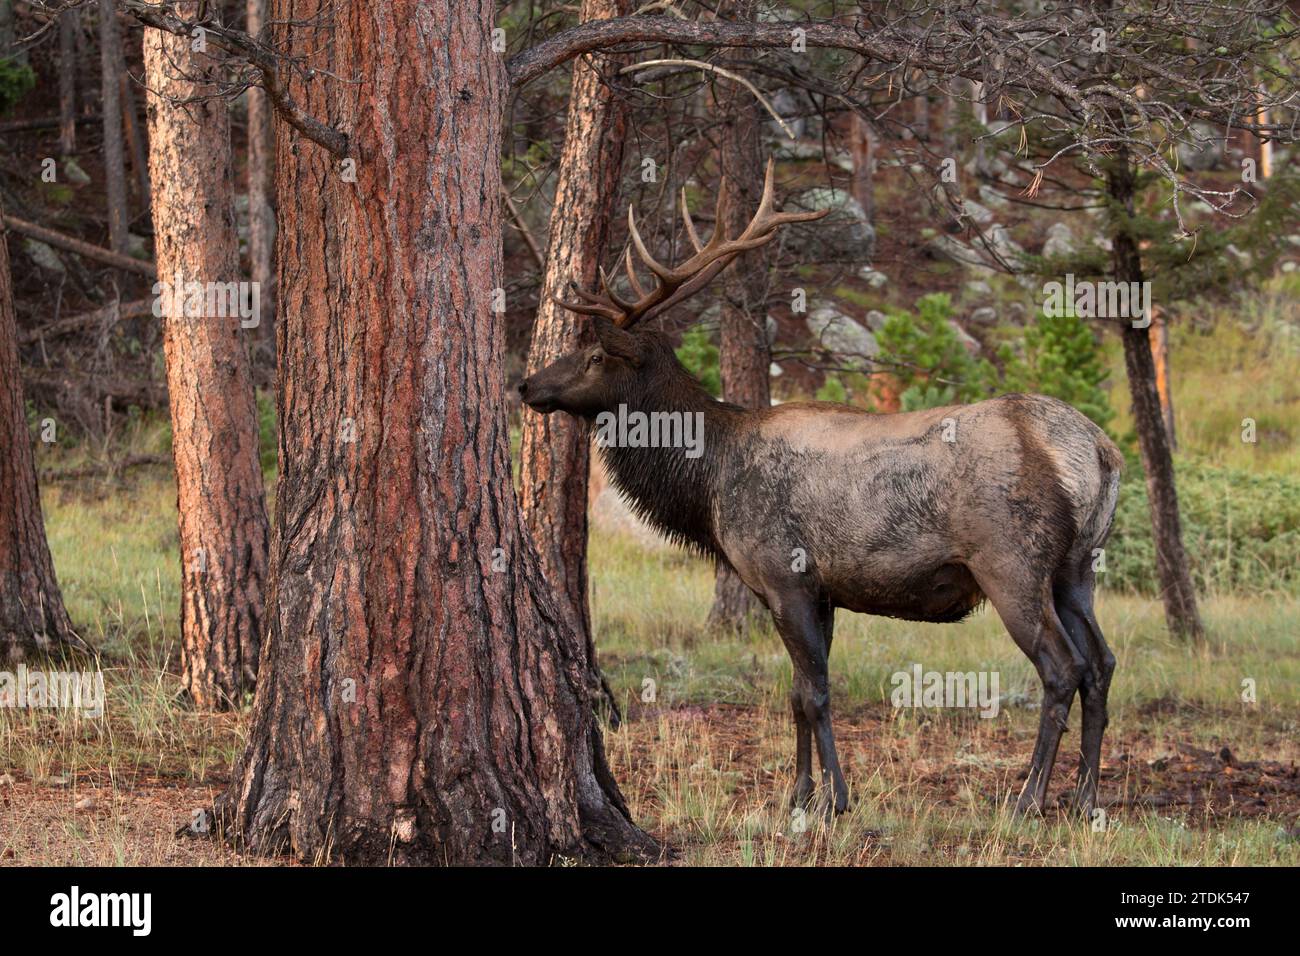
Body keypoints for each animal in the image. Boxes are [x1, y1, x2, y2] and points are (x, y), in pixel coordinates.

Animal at [522, 160, 1123, 816]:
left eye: (595, 354)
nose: (528, 384)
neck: (708, 483)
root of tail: (1096, 450)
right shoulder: (820, 590)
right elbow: (796, 693)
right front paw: (799, 792)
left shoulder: (783, 575)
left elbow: (815, 693)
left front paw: (834, 797)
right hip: (1078, 567)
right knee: (1102, 662)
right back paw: (1086, 797)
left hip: (1012, 562)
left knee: (1062, 667)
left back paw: (1029, 798)